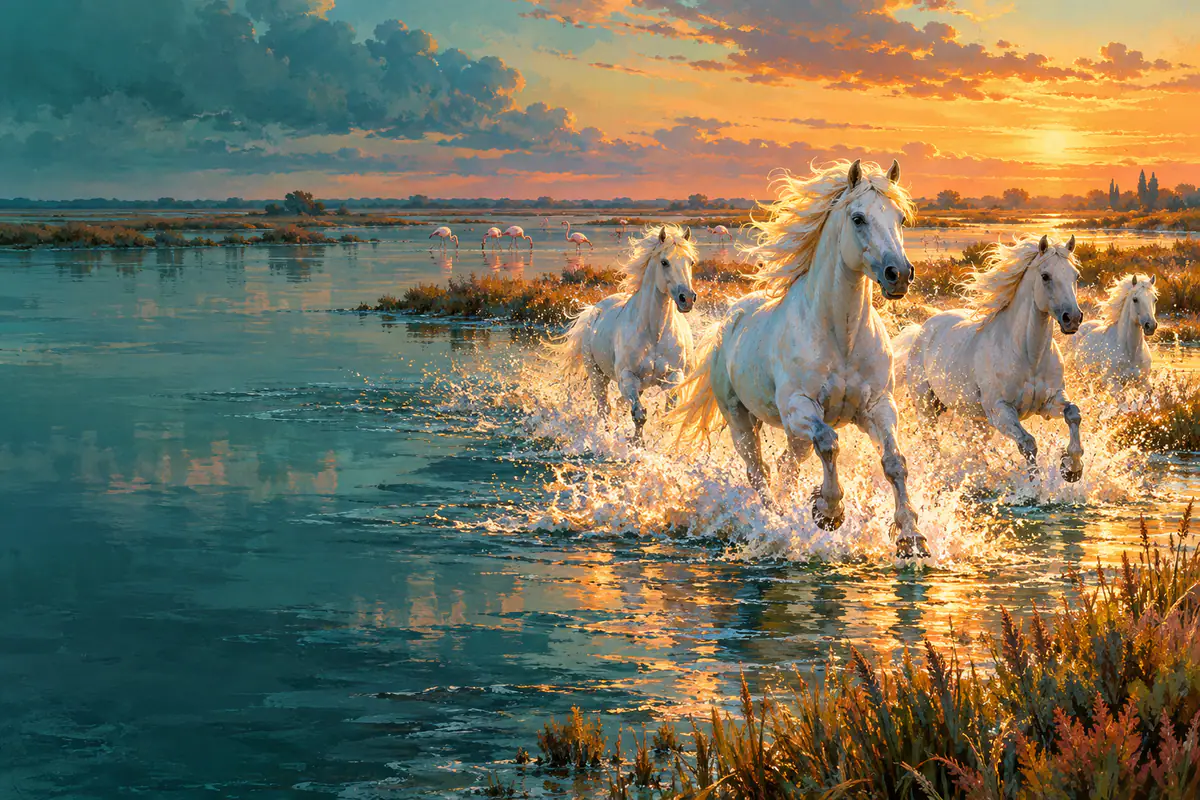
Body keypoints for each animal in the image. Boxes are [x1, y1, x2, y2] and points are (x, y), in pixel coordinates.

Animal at [554, 224, 698, 442]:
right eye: (664, 262)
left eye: (691, 262)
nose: (687, 299)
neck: (654, 334)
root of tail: (593, 310)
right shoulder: (628, 378)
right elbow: (639, 416)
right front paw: (637, 444)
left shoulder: (674, 376)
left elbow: (667, 414)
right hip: (598, 377)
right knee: (605, 408)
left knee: (617, 406)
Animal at [669, 159, 926, 557]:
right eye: (858, 218)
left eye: (900, 218)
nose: (898, 274)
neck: (841, 336)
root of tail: (731, 319)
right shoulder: (800, 407)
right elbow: (830, 442)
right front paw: (829, 511)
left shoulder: (879, 407)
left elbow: (894, 463)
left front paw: (911, 537)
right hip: (742, 420)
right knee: (758, 469)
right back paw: (773, 519)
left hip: (790, 431)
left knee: (786, 464)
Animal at [894, 234, 1084, 483]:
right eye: (1045, 276)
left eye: (1076, 275)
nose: (1073, 318)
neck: (1028, 355)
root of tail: (922, 330)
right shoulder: (1000, 411)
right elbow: (1028, 444)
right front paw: (1037, 487)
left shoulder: (1050, 401)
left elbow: (1073, 414)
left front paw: (1072, 468)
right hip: (927, 407)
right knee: (931, 443)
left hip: (978, 419)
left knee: (974, 446)